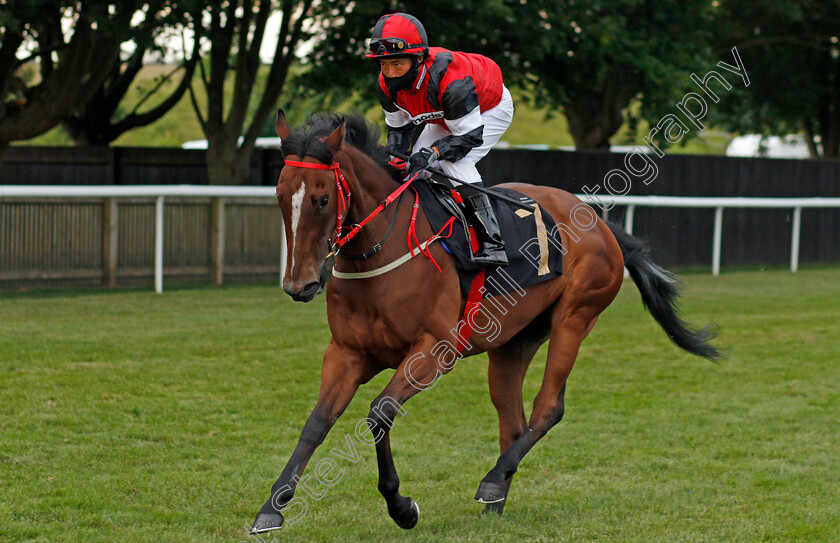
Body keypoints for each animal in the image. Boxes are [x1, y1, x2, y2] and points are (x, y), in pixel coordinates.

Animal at [248, 112, 716, 532]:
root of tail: (599, 223)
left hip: (575, 317)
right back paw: (497, 498)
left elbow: (380, 412)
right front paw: (272, 508)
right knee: (513, 421)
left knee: (549, 407)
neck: (381, 252)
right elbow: (316, 422)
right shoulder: (348, 353)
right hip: (514, 343)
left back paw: (492, 482)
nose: (299, 284)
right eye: (280, 196)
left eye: (322, 199)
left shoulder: (432, 352)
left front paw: (402, 507)